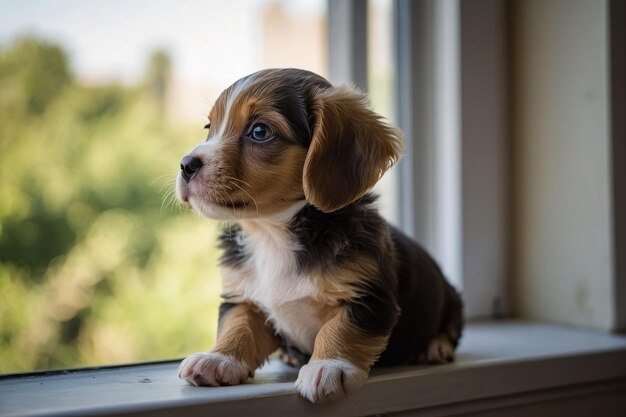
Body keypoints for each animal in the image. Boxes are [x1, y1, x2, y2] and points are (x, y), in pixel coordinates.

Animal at [173, 69, 460, 404]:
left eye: (259, 131)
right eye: (209, 127)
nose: (186, 165)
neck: (272, 233)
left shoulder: (368, 296)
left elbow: (341, 329)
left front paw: (329, 366)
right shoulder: (243, 296)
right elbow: (237, 325)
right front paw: (218, 359)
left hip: (450, 297)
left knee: (451, 327)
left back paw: (435, 346)